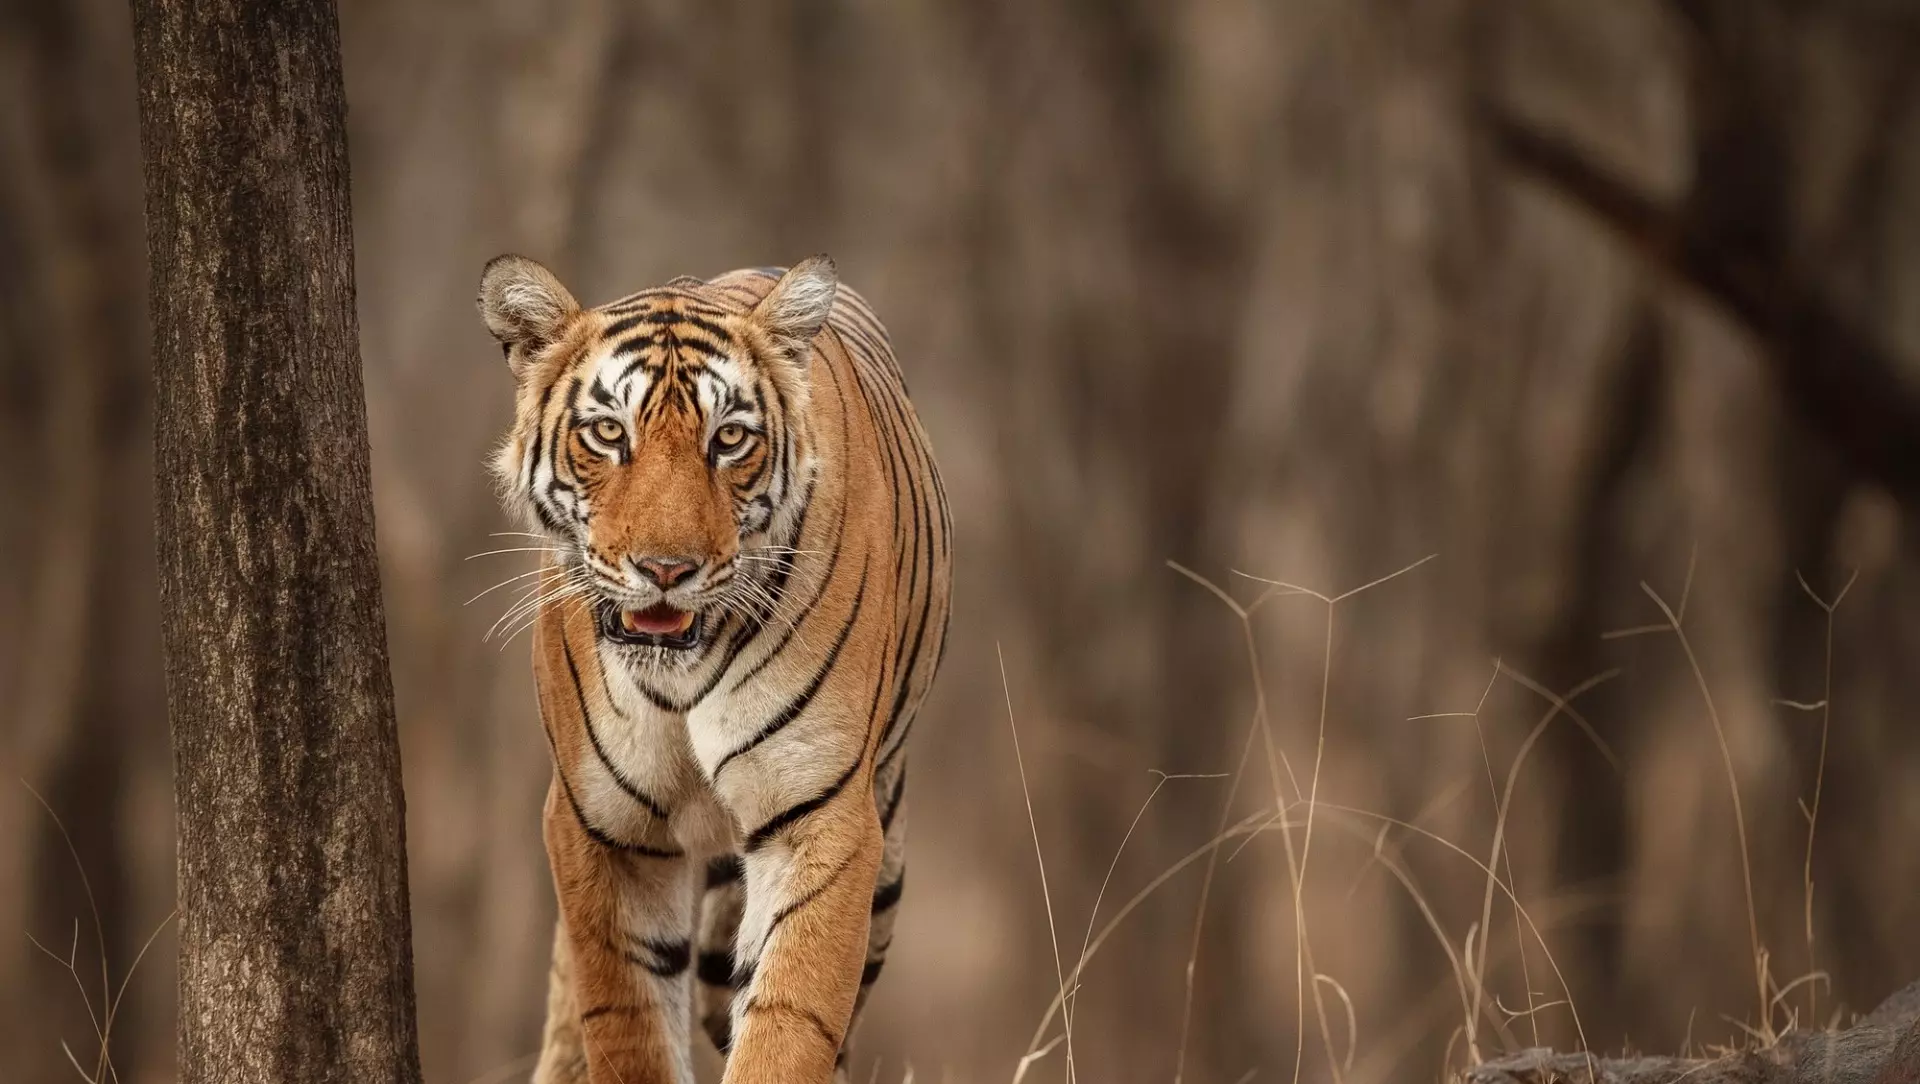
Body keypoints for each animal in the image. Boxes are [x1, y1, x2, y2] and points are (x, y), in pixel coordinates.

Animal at [478, 255, 952, 1082]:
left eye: (729, 439)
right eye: (608, 432)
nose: (667, 570)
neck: (679, 676)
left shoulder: (820, 815)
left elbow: (789, 1023)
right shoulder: (601, 830)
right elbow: (626, 1026)